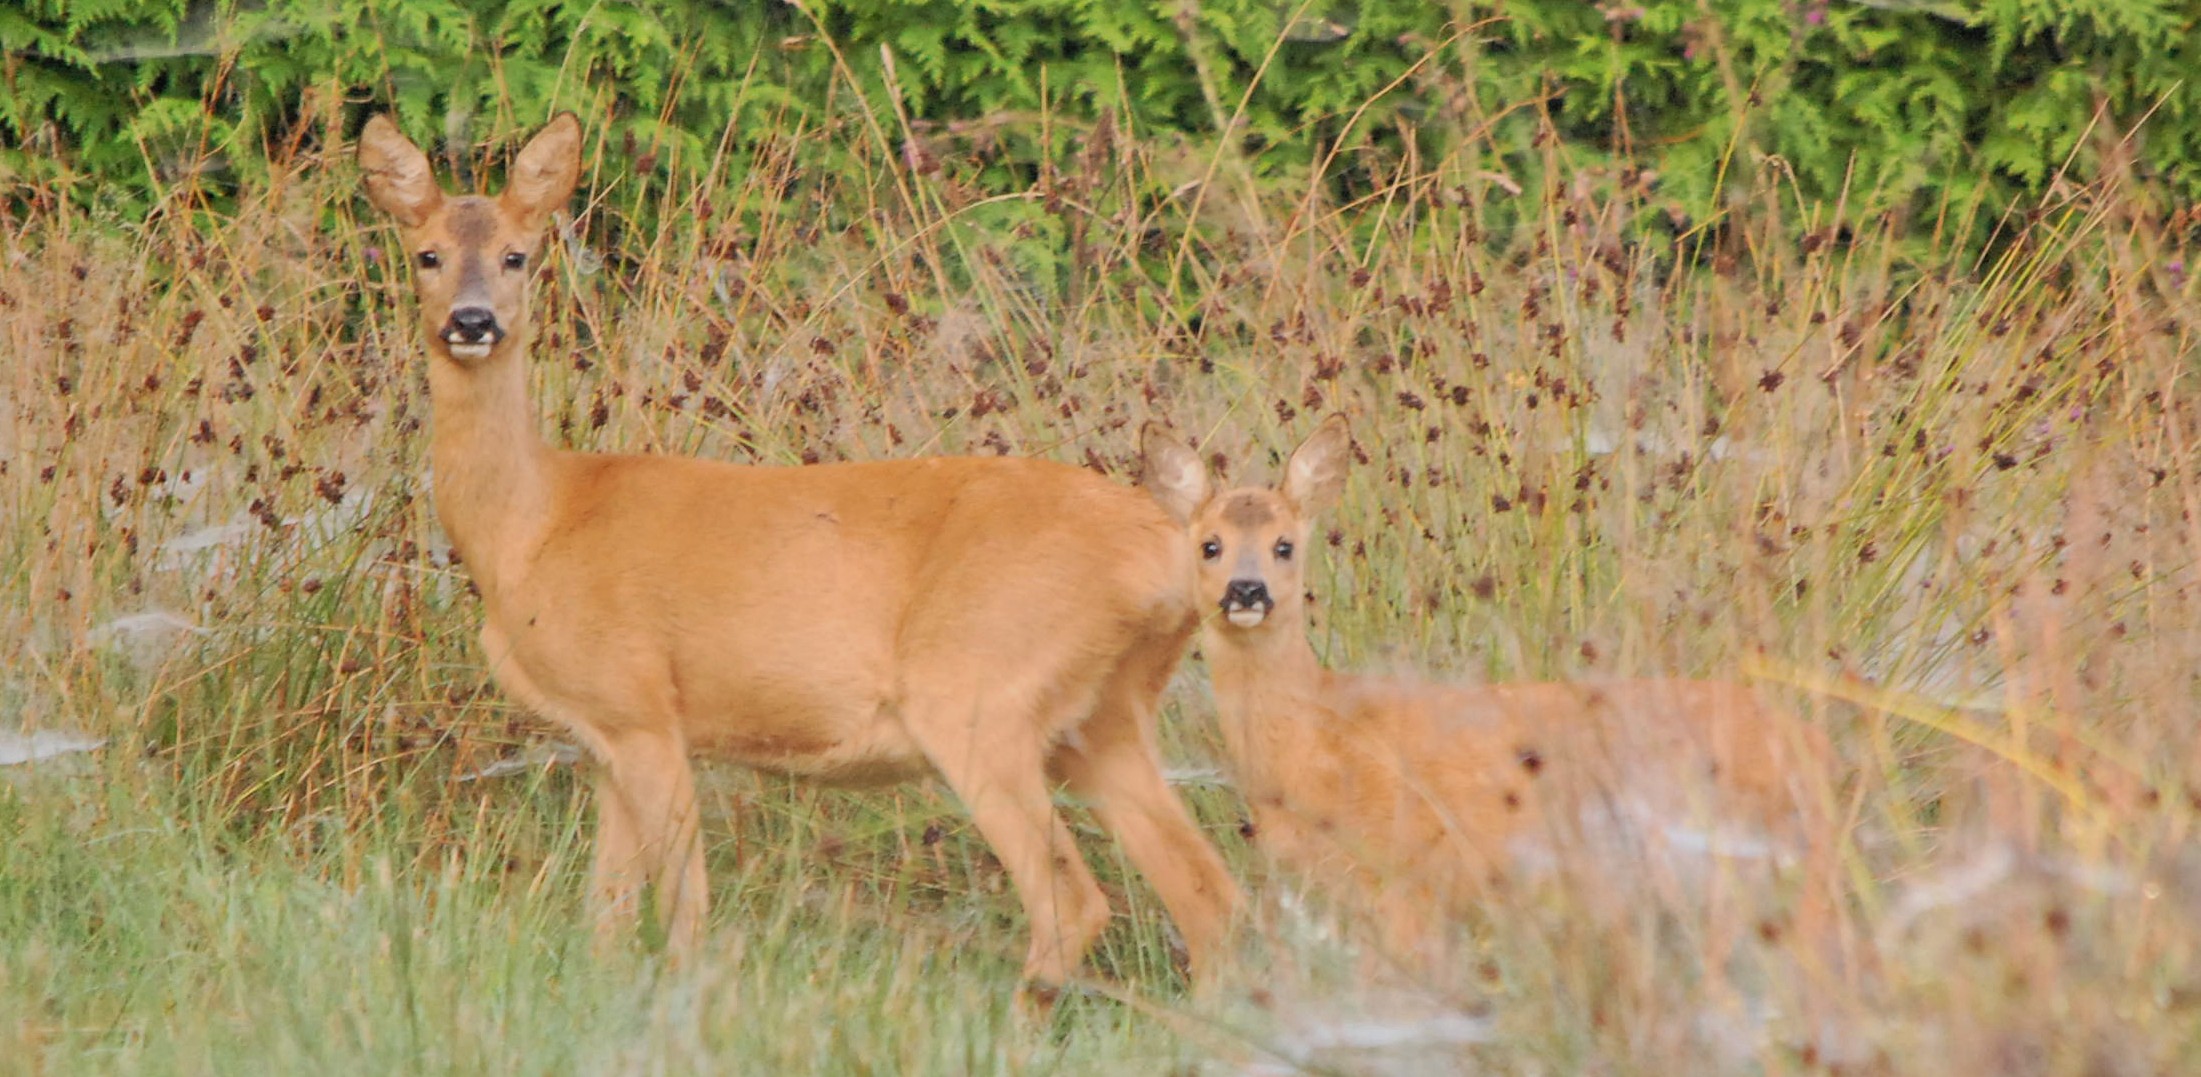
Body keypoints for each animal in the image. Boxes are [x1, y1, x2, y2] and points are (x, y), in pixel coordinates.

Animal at [347, 111, 1241, 991]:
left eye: (516, 255)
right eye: (427, 253)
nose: (472, 322)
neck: (534, 525)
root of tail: (1168, 550)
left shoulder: (642, 706)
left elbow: (684, 907)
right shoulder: (602, 736)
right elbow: (604, 919)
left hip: (980, 688)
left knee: (1073, 899)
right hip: (1105, 714)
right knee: (1209, 895)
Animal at [1135, 416, 1840, 960]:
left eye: (1284, 544)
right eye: (1209, 545)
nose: (1246, 590)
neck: (1318, 744)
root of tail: (1815, 744)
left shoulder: (1411, 877)